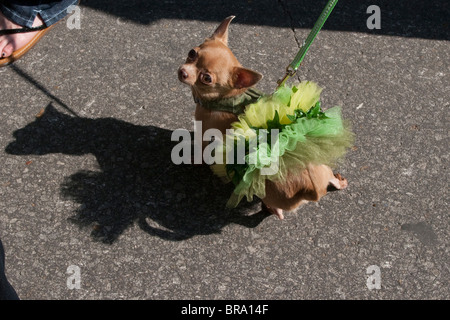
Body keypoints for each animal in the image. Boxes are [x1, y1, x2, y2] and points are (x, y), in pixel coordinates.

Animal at [178, 16, 346, 220]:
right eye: (191, 53)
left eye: (206, 78)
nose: (183, 72)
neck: (227, 98)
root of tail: (311, 189)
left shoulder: (205, 136)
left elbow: (201, 151)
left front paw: (192, 159)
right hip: (324, 169)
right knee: (331, 178)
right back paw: (340, 181)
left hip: (271, 195)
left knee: (276, 209)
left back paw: (270, 209)